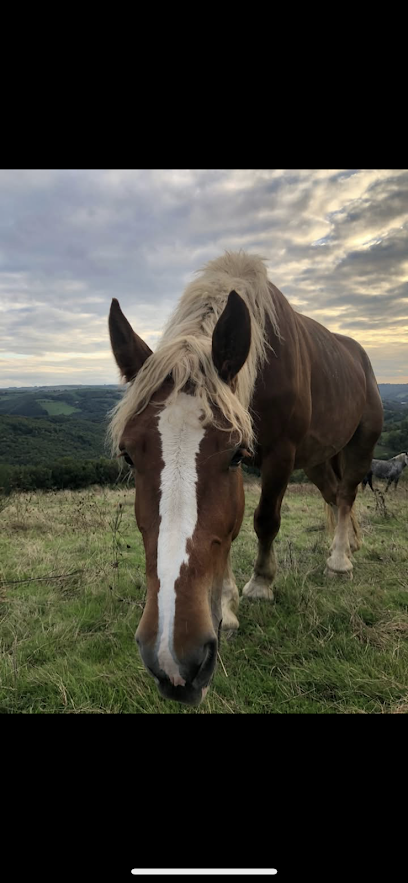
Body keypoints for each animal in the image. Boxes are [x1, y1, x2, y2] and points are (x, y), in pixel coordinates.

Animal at [108, 252, 383, 706]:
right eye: (128, 454)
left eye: (237, 453)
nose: (173, 659)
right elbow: (229, 530)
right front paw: (227, 607)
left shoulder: (280, 455)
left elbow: (264, 520)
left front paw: (260, 585)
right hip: (317, 458)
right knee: (332, 494)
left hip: (360, 443)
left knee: (345, 495)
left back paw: (340, 560)